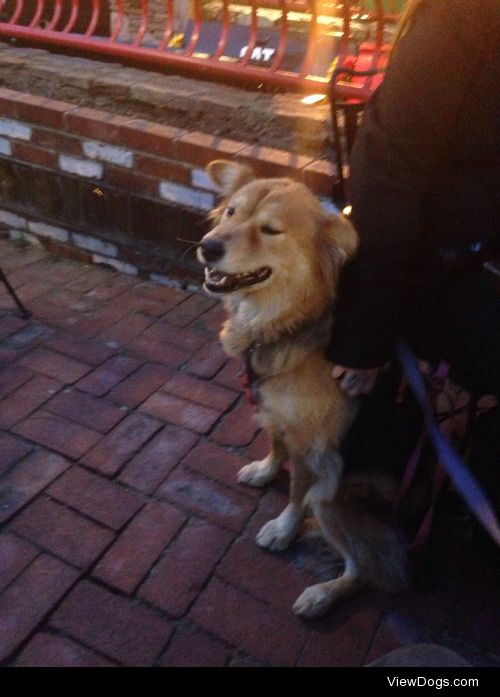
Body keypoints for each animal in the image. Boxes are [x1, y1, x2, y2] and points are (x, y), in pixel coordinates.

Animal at [197, 160, 408, 616]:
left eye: (271, 230)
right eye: (231, 212)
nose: (208, 247)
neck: (282, 320)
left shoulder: (311, 442)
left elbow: (296, 492)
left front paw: (283, 528)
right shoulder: (278, 416)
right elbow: (275, 445)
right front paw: (265, 470)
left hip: (331, 496)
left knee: (364, 569)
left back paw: (322, 594)